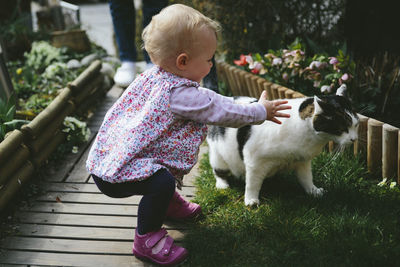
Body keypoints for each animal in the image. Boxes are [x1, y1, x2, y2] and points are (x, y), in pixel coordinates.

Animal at [206, 86, 360, 207]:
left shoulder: (303, 161)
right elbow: (252, 184)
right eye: (342, 128)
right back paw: (222, 185)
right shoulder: (255, 162)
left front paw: (314, 192)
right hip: (219, 159)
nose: (354, 139)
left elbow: (306, 179)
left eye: (356, 125)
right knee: (218, 172)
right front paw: (251, 200)